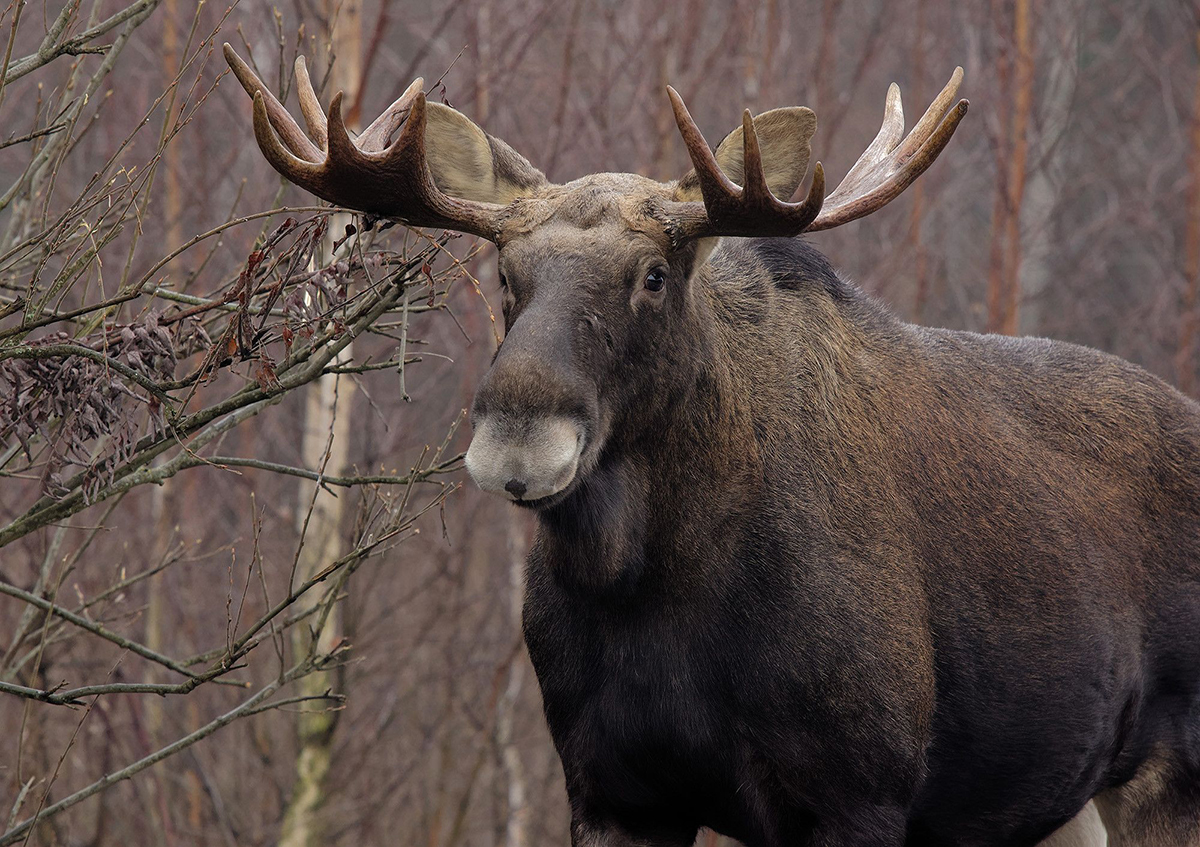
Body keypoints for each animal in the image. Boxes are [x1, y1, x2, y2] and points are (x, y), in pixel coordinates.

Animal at [226, 46, 1200, 844]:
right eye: (505, 275)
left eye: (654, 275)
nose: (518, 437)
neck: (655, 590)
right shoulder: (610, 789)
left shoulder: (860, 790)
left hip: (1170, 767)